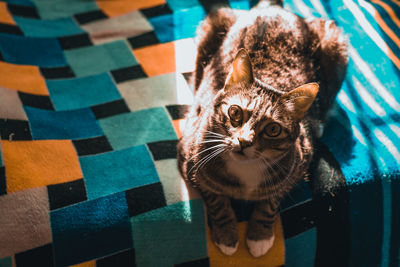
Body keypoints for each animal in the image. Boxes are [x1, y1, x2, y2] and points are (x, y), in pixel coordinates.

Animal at [177, 0, 346, 260]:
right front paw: (227, 236)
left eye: (273, 129)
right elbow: (216, 200)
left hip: (335, 47)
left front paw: (260, 236)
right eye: (235, 113)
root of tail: (271, 6)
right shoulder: (188, 158)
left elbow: (271, 201)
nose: (244, 142)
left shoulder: (298, 164)